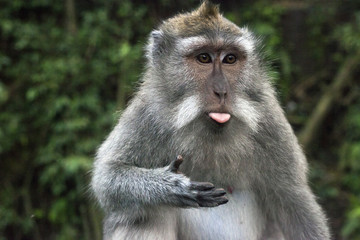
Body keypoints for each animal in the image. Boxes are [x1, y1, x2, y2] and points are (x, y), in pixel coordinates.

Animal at [90, 0, 330, 239]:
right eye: (203, 58)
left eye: (230, 59)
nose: (222, 91)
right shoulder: (147, 114)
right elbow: (107, 177)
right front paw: (173, 186)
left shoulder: (269, 120)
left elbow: (295, 202)